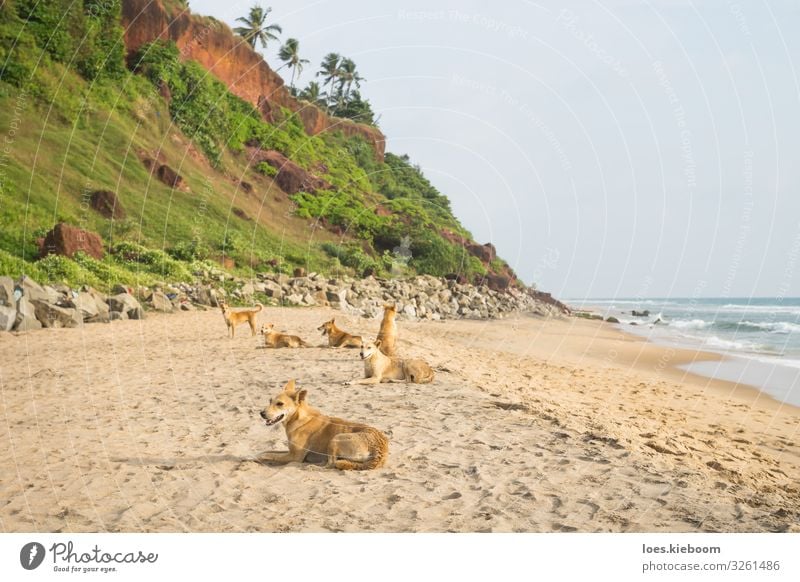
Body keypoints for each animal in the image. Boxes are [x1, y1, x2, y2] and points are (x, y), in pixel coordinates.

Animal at [258, 380, 390, 472]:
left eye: (280, 404)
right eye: (270, 401)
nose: (261, 413)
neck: (298, 417)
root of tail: (380, 449)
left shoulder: (294, 456)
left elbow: (268, 454)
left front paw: (256, 457)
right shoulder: (290, 451)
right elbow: (268, 451)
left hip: (336, 439)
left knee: (331, 464)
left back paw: (314, 467)